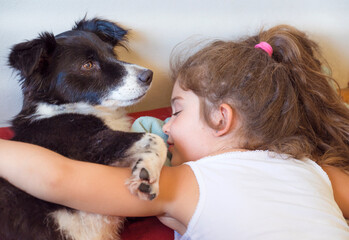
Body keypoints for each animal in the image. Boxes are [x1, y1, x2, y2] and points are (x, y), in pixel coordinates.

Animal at [0, 17, 167, 240]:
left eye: (112, 54)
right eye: (87, 65)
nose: (148, 75)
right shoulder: (86, 144)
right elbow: (155, 139)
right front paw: (147, 173)